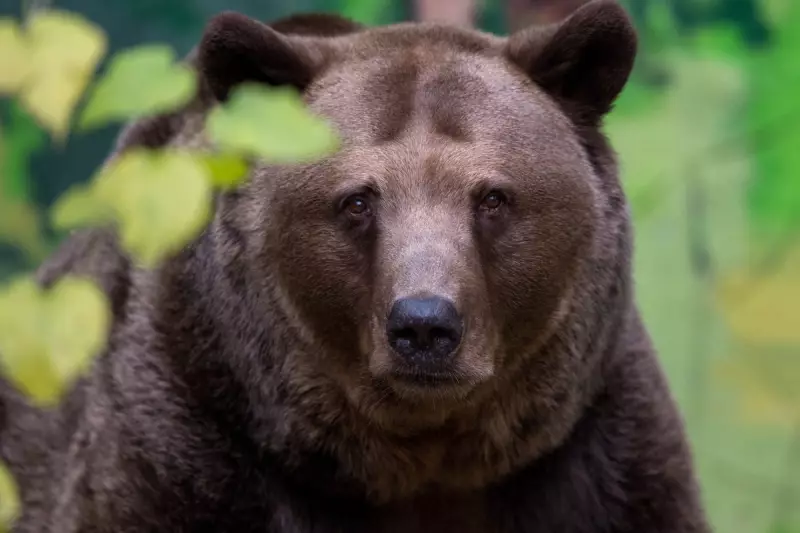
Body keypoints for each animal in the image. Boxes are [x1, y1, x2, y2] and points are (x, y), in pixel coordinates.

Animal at [0, 1, 712, 532]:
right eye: (358, 200)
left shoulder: (593, 450)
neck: (417, 460)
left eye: (493, 197)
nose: (424, 325)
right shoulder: (186, 430)